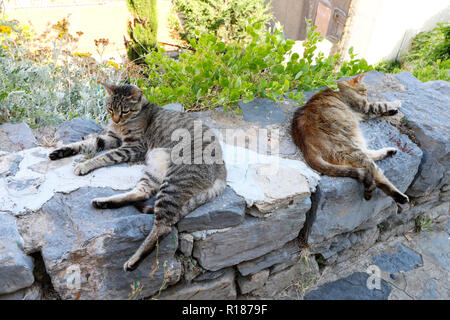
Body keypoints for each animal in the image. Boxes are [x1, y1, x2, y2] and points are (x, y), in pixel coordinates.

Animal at [48, 84, 229, 272]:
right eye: (110, 108)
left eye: (125, 111)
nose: (116, 120)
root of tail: (222, 170)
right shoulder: (112, 139)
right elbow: (88, 143)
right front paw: (62, 151)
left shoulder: (133, 147)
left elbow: (105, 156)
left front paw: (84, 164)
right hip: (155, 168)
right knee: (143, 193)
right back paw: (103, 202)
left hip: (173, 182)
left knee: (163, 226)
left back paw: (133, 261)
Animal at [290, 74, 410, 204]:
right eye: (364, 91)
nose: (366, 96)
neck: (342, 85)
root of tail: (306, 148)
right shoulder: (364, 107)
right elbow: (381, 104)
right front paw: (396, 103)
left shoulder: (365, 112)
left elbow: (379, 110)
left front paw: (392, 111)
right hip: (351, 149)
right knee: (377, 175)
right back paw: (400, 196)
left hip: (353, 144)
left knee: (369, 156)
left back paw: (389, 151)